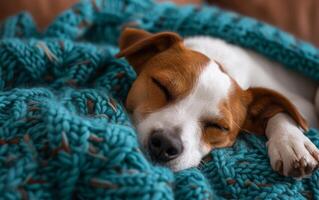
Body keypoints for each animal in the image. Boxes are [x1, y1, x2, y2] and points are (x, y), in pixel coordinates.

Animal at [117, 27, 319, 178]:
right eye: (161, 86)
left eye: (218, 126)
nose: (166, 143)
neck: (222, 61)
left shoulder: (304, 106)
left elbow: (281, 111)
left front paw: (290, 142)